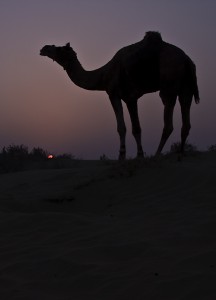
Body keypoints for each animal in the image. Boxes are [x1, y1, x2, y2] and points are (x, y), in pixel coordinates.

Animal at [40, 31, 199, 159]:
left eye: (59, 48)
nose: (44, 48)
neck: (103, 75)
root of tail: (187, 60)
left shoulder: (115, 93)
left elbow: (122, 128)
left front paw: (122, 155)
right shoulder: (131, 98)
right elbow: (136, 128)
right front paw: (139, 155)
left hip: (169, 83)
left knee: (168, 122)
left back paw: (157, 155)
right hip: (186, 88)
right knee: (186, 120)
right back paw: (180, 155)